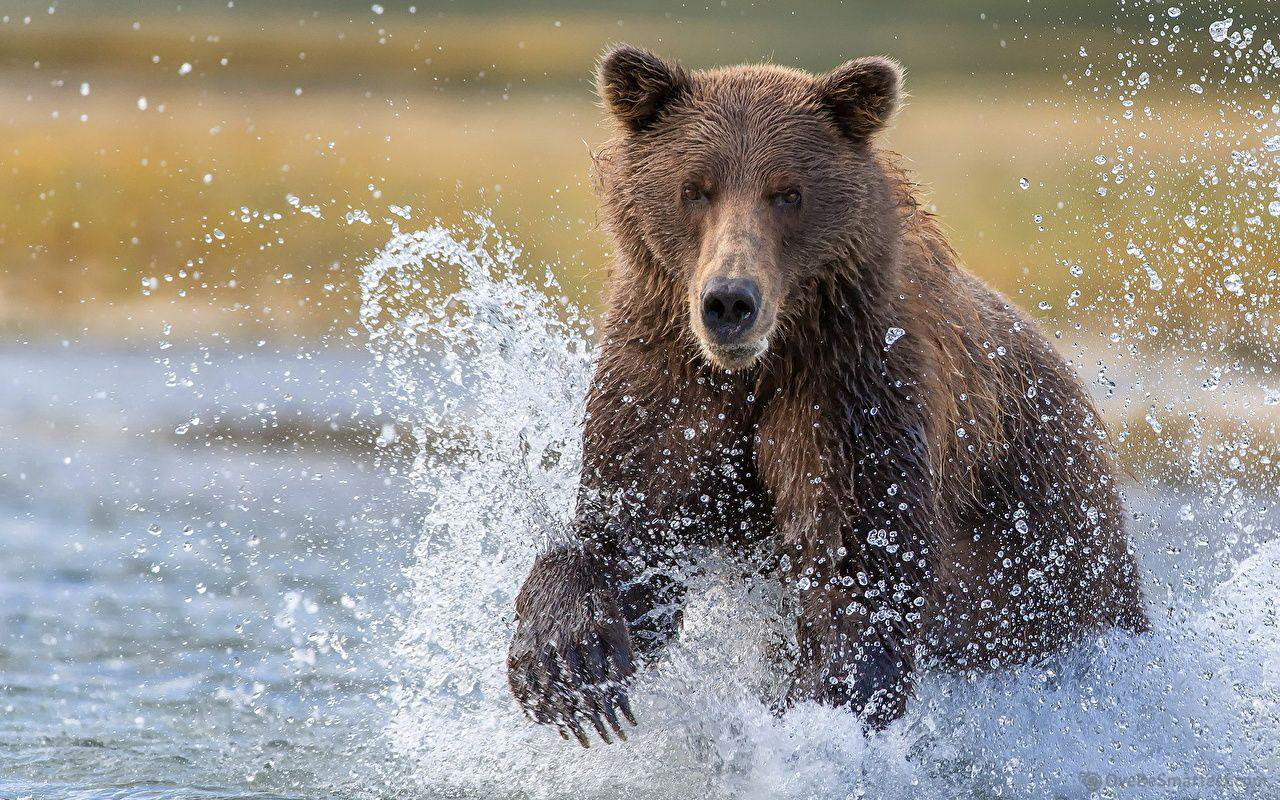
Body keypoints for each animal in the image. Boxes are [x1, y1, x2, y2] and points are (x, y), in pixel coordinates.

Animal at [504, 45, 1146, 742]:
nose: (729, 302)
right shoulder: (668, 381)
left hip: (1050, 555)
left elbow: (858, 572)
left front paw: (817, 713)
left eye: (788, 193)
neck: (765, 364)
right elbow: (631, 530)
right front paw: (568, 662)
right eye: (694, 188)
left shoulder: (854, 391)